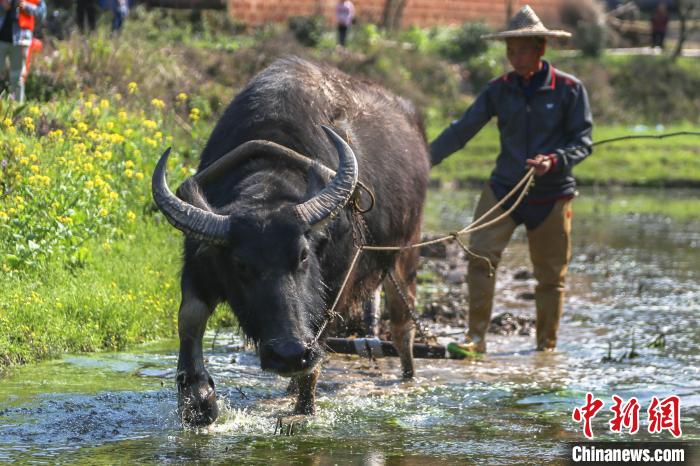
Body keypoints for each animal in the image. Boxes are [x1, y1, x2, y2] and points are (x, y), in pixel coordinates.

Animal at [150, 57, 430, 426]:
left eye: (303, 256)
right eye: (241, 265)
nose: (289, 353)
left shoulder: (336, 283)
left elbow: (321, 332)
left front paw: (303, 408)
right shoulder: (200, 262)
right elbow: (190, 318)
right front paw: (198, 399)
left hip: (405, 251)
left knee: (402, 324)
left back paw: (407, 377)